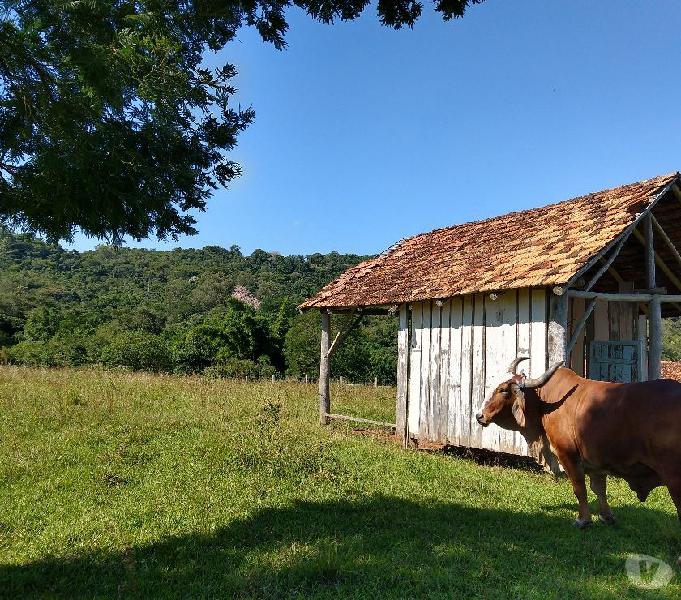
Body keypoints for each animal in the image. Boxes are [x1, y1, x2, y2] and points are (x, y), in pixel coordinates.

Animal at [476, 356, 680, 528]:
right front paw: (606, 516)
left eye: (503, 390)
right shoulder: (596, 461)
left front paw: (583, 520)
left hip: (673, 476)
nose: (479, 416)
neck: (545, 402)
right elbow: (599, 489)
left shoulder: (567, 454)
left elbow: (579, 487)